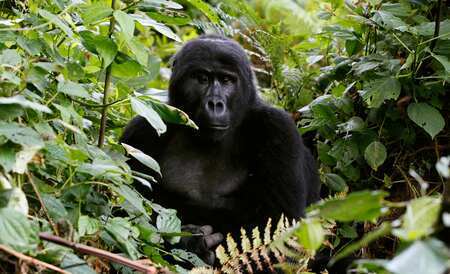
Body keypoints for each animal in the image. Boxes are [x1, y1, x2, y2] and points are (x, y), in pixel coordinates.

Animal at [119, 35, 320, 264]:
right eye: (202, 78)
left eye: (226, 80)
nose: (215, 104)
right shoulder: (141, 131)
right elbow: (125, 212)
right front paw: (191, 243)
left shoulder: (278, 127)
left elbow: (281, 232)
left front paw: (194, 244)